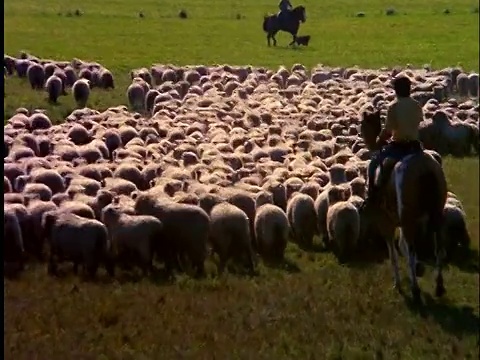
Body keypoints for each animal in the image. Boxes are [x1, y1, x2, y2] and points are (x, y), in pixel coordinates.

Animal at [360, 109, 450, 304]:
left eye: (363, 125)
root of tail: (424, 167)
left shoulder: (386, 222)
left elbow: (394, 254)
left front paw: (398, 283)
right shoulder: (399, 221)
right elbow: (401, 247)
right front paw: (419, 269)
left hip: (409, 219)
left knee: (412, 250)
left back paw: (415, 290)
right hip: (436, 214)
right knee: (439, 249)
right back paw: (439, 286)